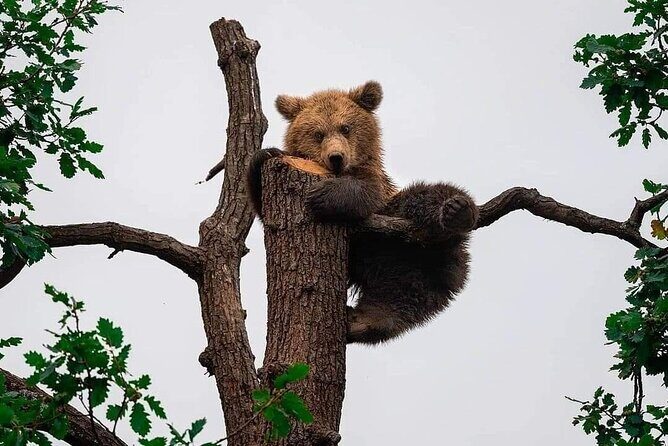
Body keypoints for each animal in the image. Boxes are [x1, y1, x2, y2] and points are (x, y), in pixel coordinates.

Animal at [247, 81, 478, 344]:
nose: (336, 157)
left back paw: (457, 211)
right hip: (397, 265)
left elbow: (364, 191)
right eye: (318, 133)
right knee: (397, 299)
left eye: (346, 127)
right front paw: (264, 154)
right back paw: (360, 321)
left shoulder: (376, 185)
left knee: (429, 195)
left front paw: (322, 194)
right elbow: (261, 204)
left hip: (406, 236)